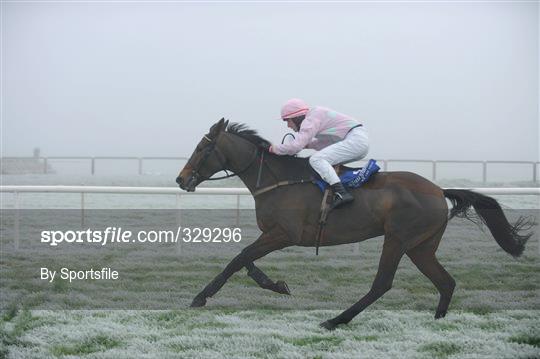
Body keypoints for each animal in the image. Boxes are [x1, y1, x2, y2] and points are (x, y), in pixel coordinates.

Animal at [176, 119, 532, 332]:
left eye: (202, 148)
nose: (181, 179)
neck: (278, 180)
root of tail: (438, 190)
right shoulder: (273, 234)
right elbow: (246, 261)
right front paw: (276, 284)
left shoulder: (284, 234)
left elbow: (238, 258)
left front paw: (200, 297)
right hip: (421, 246)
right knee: (446, 282)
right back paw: (437, 321)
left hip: (398, 239)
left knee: (383, 284)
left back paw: (336, 320)